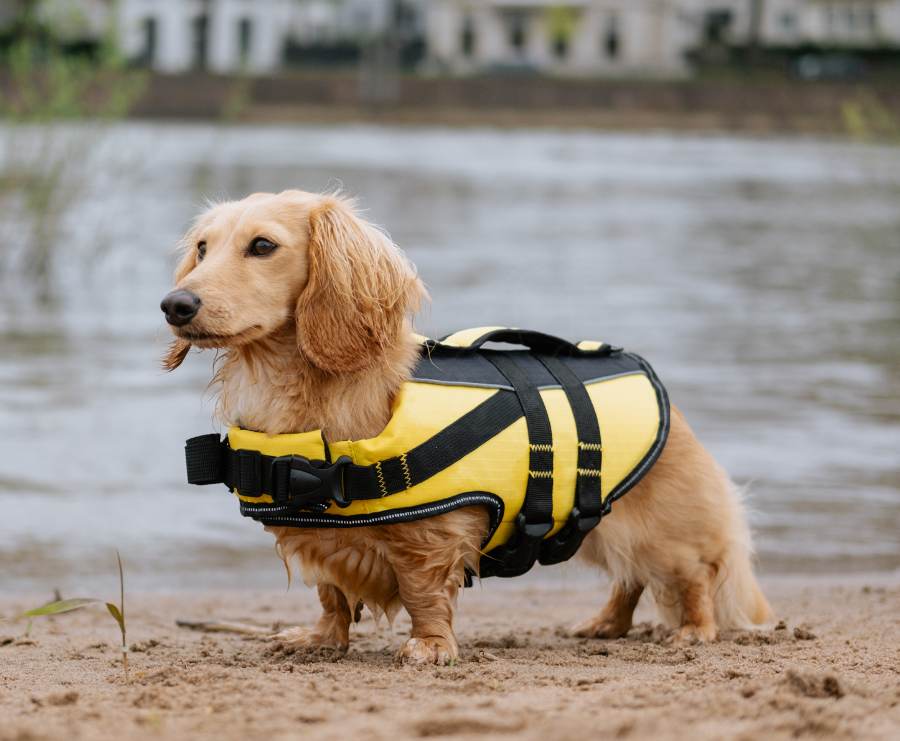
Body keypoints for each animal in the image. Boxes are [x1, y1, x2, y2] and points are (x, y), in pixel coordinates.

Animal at [158, 191, 768, 664]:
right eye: (203, 248)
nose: (174, 304)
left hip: (658, 531)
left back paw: (693, 630)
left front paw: (430, 646)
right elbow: (332, 595)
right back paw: (605, 624)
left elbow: (423, 594)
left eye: (262, 246)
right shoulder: (322, 537)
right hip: (601, 523)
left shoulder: (430, 537)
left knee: (691, 574)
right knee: (630, 577)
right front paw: (322, 639)